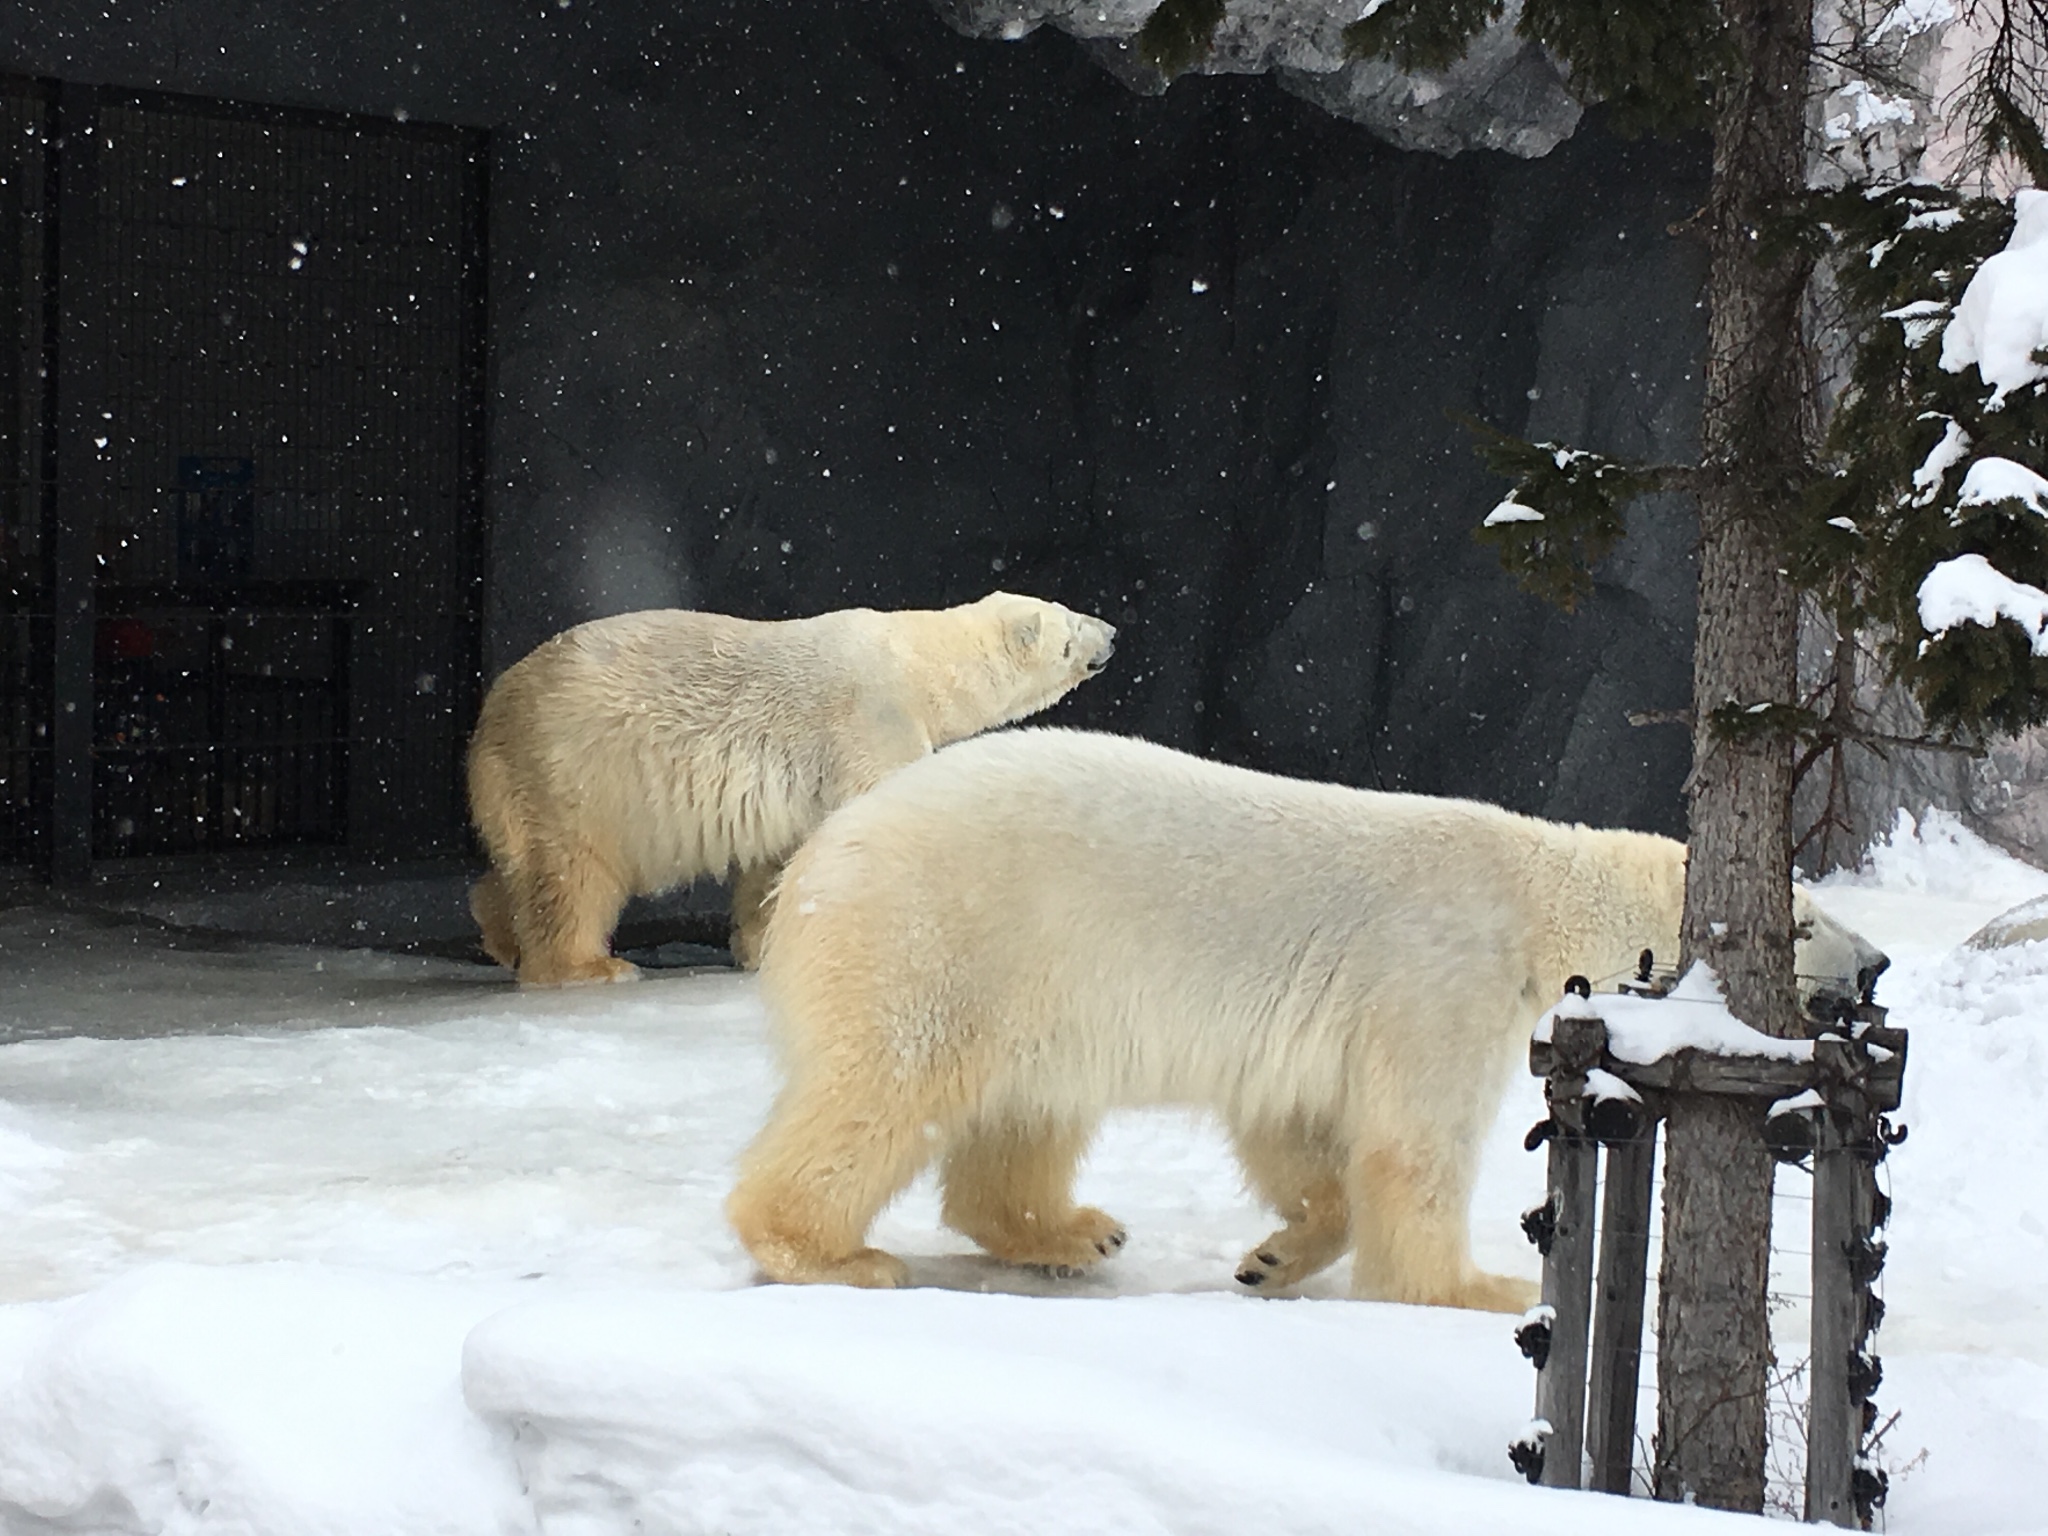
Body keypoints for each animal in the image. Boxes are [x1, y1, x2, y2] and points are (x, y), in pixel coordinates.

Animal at [466, 593, 1122, 991]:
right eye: (1072, 628)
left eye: (1073, 611)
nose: (1113, 633)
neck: (918, 663)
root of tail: (487, 722)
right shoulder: (870, 724)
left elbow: (779, 859)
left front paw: (760, 948)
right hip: (574, 772)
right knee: (573, 876)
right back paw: (589, 964)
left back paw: (502, 937)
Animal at [724, 729, 1884, 1318]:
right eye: (1803, 921)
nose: (1874, 961)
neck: (1532, 895)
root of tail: (819, 856)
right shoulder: (1439, 968)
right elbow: (1410, 1143)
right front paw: (1483, 1287)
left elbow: (1297, 1123)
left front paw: (1274, 1258)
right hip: (943, 934)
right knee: (884, 1087)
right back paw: (831, 1252)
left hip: (1031, 980)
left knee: (1024, 1114)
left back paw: (1075, 1230)